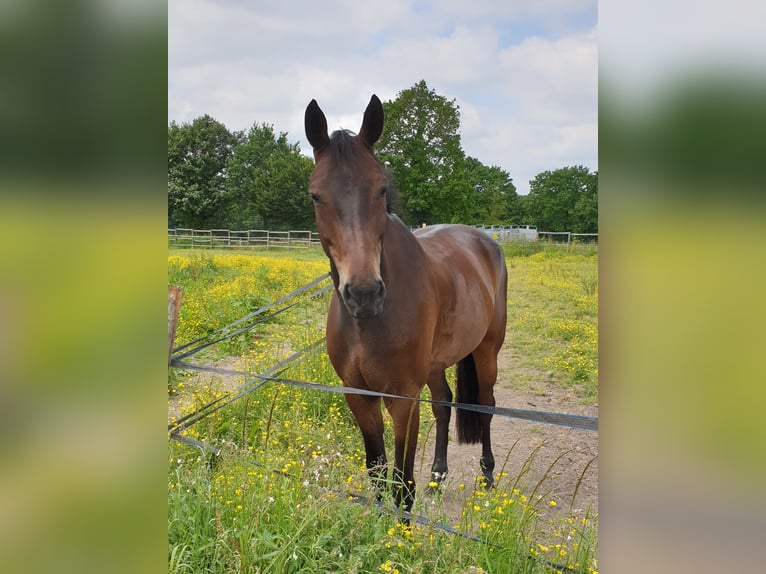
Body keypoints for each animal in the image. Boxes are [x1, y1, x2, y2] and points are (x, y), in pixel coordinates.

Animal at [306, 97, 510, 516]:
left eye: (382, 188)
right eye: (316, 195)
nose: (364, 293)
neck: (367, 325)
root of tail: (487, 242)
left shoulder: (403, 399)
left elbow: (402, 485)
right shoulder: (358, 396)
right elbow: (377, 473)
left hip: (487, 350)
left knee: (485, 404)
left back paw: (486, 476)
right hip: (435, 364)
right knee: (444, 404)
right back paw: (438, 475)